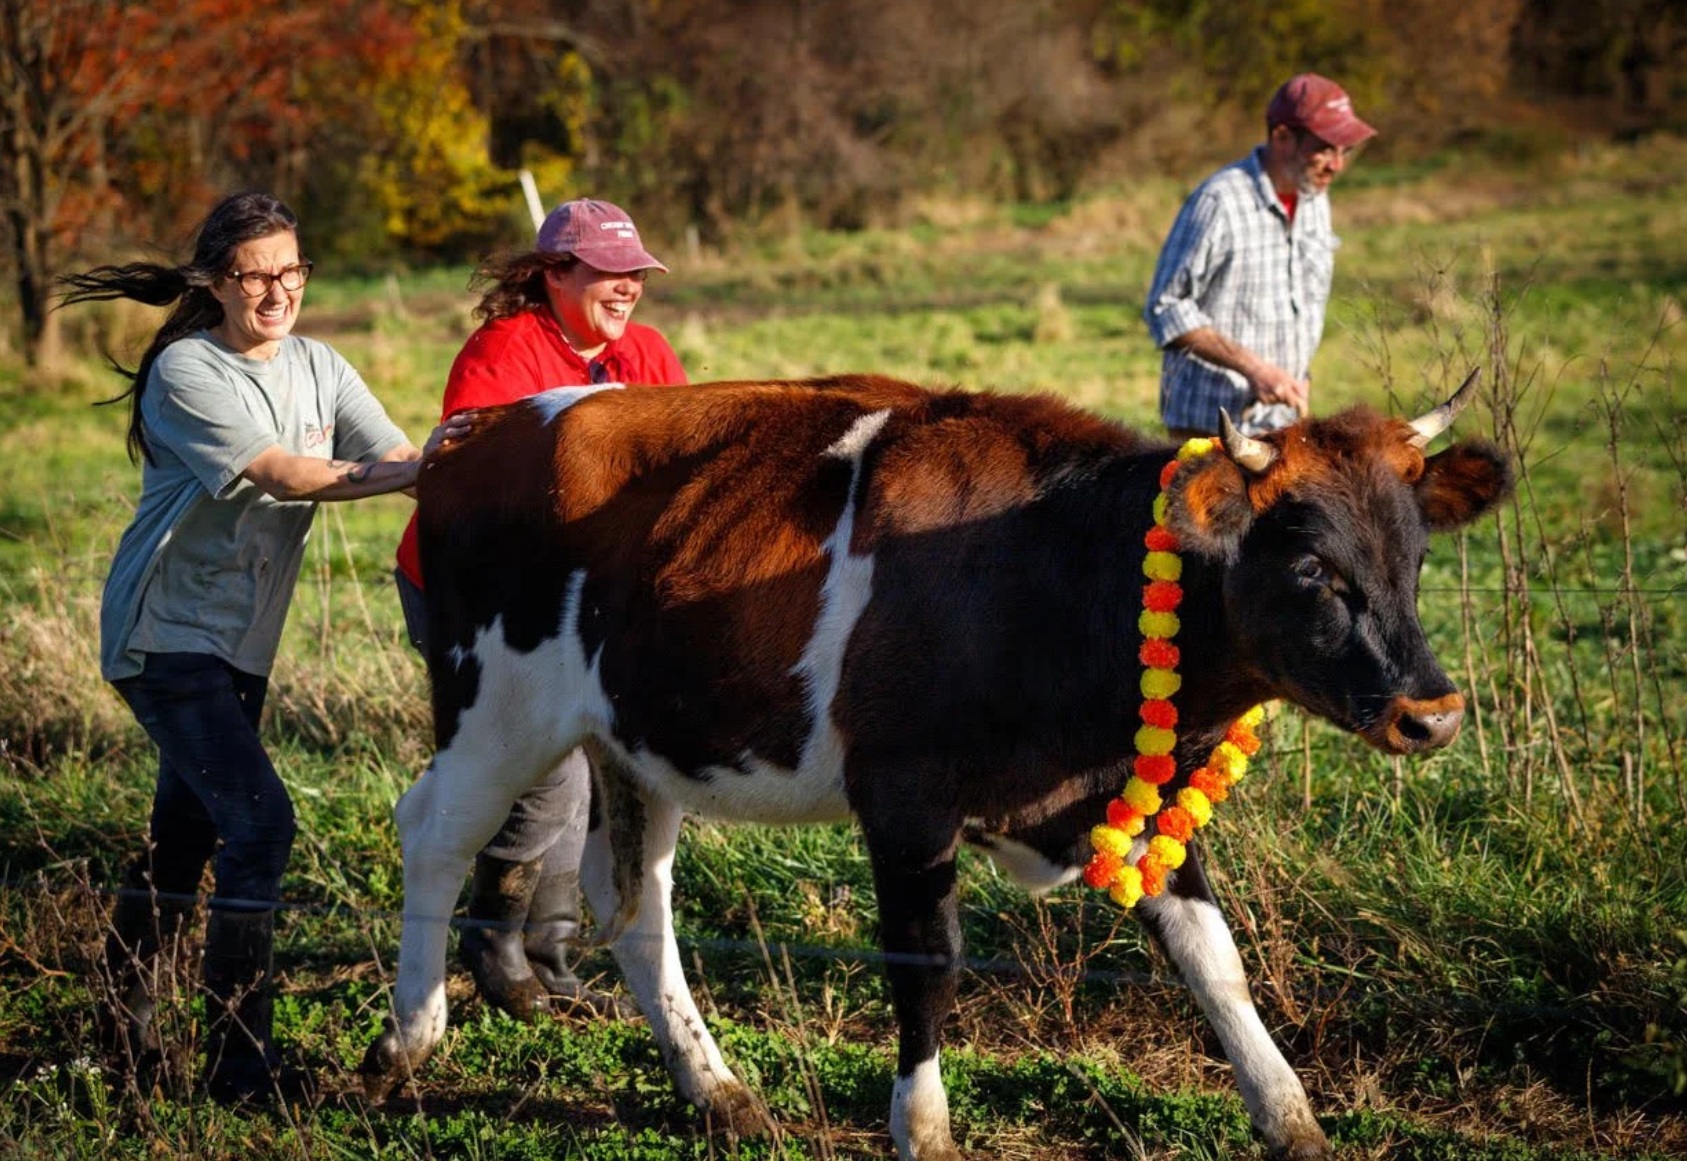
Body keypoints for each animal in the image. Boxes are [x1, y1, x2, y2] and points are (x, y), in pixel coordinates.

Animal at [359, 371, 1511, 1160]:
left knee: (633, 897)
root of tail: (482, 432)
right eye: (1311, 566)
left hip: (632, 736)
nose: (1431, 714)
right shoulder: (904, 798)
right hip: (496, 705)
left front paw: (1289, 1116)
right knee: (438, 834)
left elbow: (1212, 957)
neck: (1055, 567)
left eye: (1412, 557)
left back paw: (716, 1090)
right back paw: (407, 1042)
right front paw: (924, 1125)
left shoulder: (1129, 801)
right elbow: (929, 962)